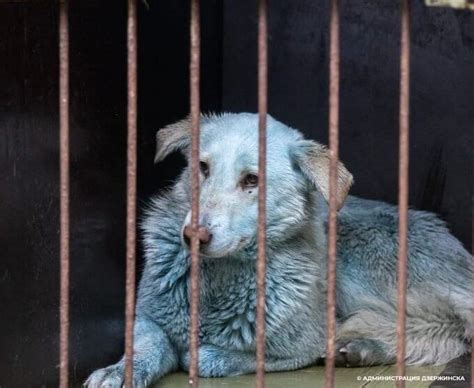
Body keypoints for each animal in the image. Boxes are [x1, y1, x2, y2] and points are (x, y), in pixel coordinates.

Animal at [87, 111, 472, 384]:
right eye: (203, 168)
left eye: (252, 180)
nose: (193, 235)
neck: (221, 278)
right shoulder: (146, 317)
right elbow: (146, 345)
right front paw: (119, 371)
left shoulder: (303, 344)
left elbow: (214, 356)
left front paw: (201, 354)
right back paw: (362, 349)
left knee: (450, 329)